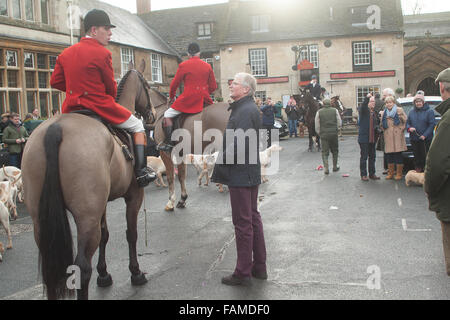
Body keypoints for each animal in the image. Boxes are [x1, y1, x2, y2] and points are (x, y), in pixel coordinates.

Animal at [22, 60, 157, 300]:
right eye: (147, 87)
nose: (152, 116)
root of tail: (56, 127)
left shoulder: (101, 205)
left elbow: (106, 235)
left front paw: (103, 274)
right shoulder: (133, 195)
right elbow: (131, 234)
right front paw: (136, 272)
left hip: (41, 218)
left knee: (50, 268)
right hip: (86, 216)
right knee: (82, 267)